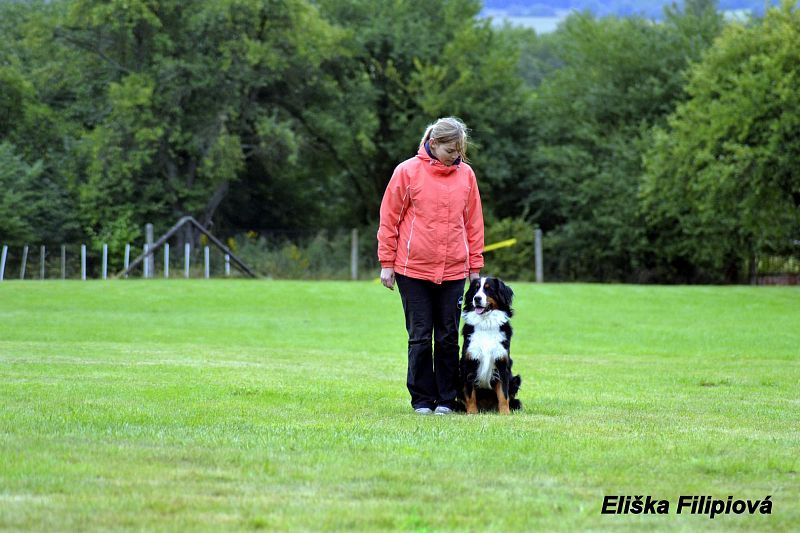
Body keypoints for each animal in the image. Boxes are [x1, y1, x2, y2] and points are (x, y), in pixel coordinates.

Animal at [460, 276, 520, 414]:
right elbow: (470, 394)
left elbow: (503, 394)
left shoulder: (502, 363)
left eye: (489, 289)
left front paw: (505, 413)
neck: (486, 324)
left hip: (516, 379)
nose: (477, 298)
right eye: (475, 288)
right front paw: (472, 412)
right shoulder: (469, 363)